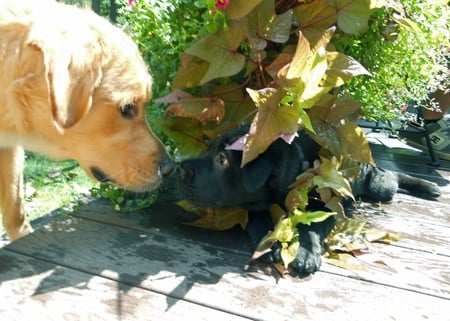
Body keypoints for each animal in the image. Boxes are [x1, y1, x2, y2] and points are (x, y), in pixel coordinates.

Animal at [178, 126, 442, 274]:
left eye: (221, 159)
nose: (180, 168)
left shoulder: (329, 204)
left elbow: (312, 224)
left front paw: (304, 252)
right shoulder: (255, 205)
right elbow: (258, 220)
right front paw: (269, 242)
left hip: (378, 186)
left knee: (392, 177)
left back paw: (429, 187)